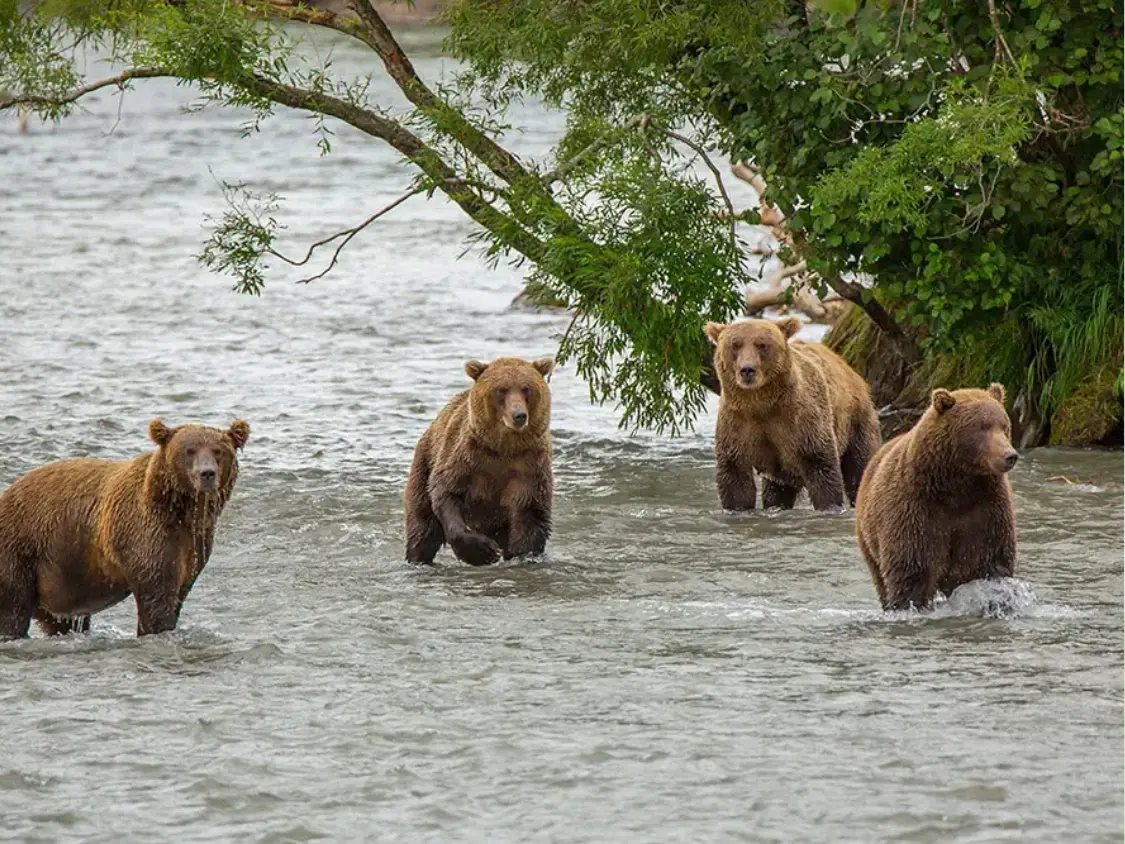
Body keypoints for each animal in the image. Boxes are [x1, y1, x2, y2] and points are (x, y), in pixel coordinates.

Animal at [0, 418, 250, 639]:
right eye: (189, 450)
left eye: (218, 450)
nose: (207, 473)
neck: (179, 511)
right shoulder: (145, 533)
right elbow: (157, 593)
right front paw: (157, 628)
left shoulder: (194, 542)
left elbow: (180, 589)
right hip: (21, 546)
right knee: (13, 607)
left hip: (61, 577)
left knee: (61, 619)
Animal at [405, 356, 555, 566]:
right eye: (501, 389)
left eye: (526, 388)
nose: (519, 415)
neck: (504, 448)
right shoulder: (466, 458)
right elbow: (446, 492)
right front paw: (482, 551)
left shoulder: (529, 465)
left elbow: (531, 512)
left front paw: (524, 554)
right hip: (424, 463)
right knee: (423, 527)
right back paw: (419, 558)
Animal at [705, 317, 881, 512]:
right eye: (735, 345)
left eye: (762, 344)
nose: (747, 369)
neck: (761, 404)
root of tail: (849, 367)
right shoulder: (737, 423)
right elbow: (735, 478)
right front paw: (737, 506)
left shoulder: (802, 421)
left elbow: (821, 467)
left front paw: (829, 505)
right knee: (776, 491)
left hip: (856, 420)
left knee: (860, 464)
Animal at [855, 384, 1019, 611]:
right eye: (982, 427)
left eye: (1004, 426)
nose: (1010, 456)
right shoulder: (916, 509)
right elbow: (913, 567)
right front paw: (908, 603)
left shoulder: (986, 508)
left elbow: (988, 560)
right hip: (868, 536)